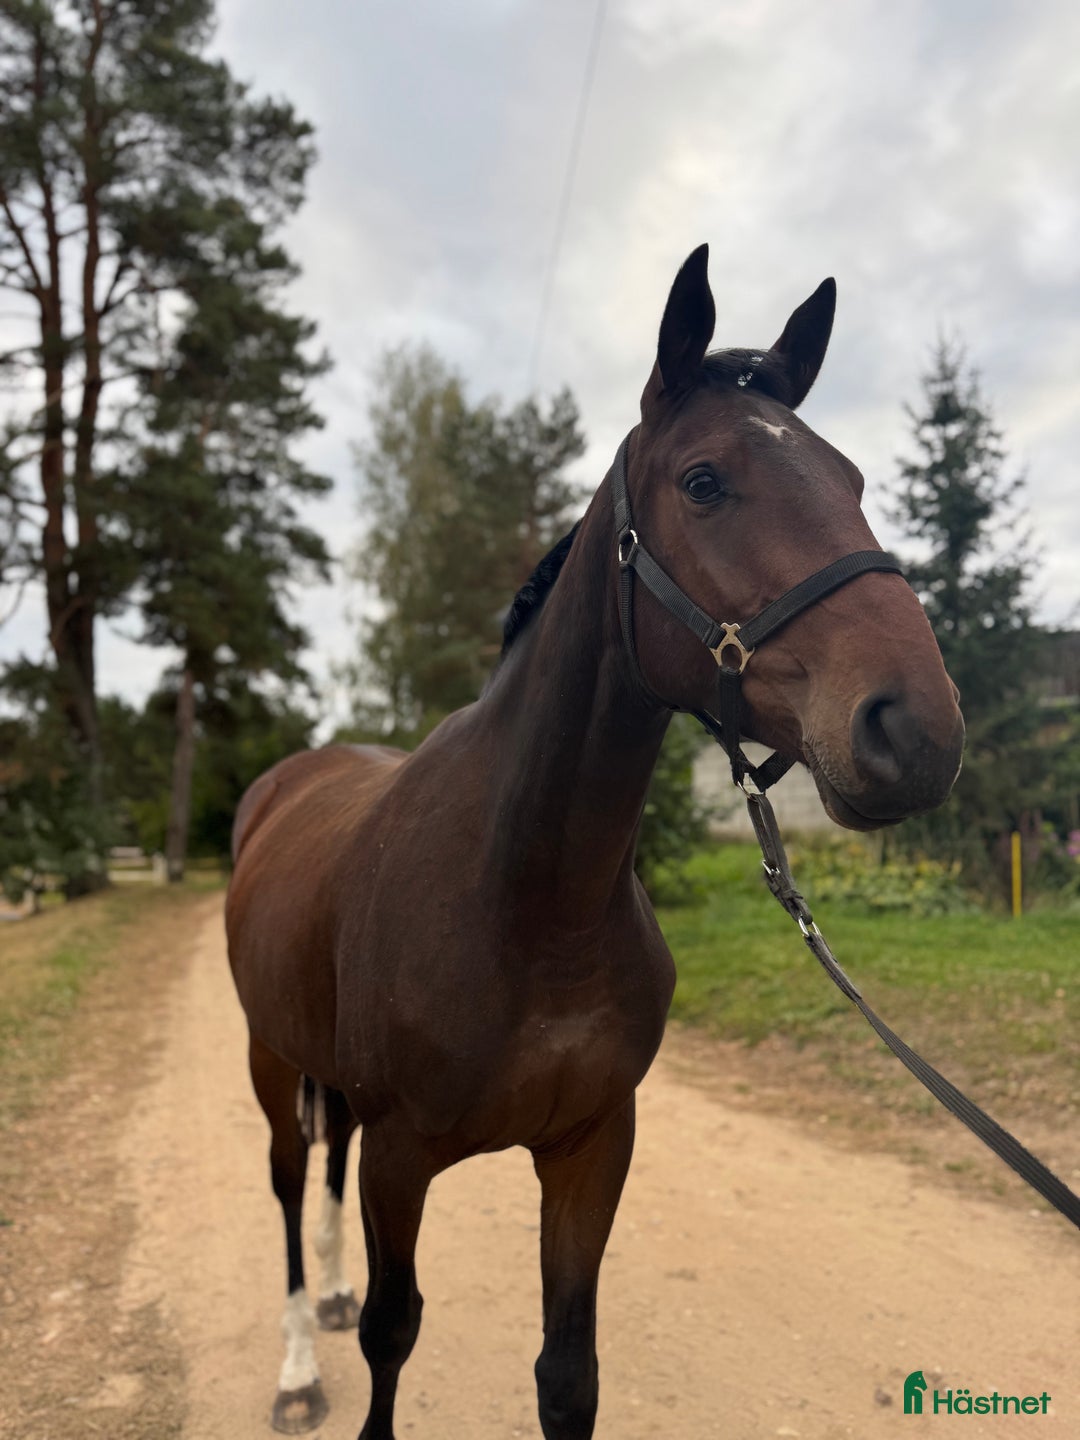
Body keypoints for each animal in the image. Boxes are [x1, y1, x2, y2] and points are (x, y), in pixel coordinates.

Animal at [225, 244, 965, 1439]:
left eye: (852, 479)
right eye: (704, 480)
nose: (918, 730)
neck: (527, 898)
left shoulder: (590, 1147)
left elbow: (568, 1376)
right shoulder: (401, 1159)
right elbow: (393, 1338)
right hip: (269, 1058)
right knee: (293, 1186)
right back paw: (298, 1366)